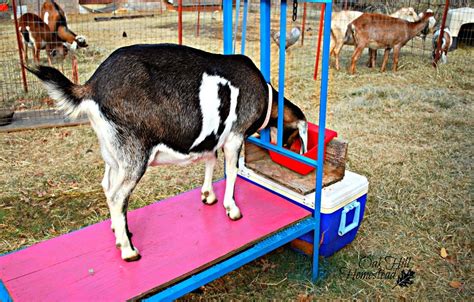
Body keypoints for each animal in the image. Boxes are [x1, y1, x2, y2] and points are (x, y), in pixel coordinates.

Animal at [25, 43, 310, 260]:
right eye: (294, 138)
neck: (266, 97)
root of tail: (91, 86)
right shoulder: (234, 136)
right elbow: (231, 173)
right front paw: (232, 209)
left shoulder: (211, 137)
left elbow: (210, 160)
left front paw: (208, 196)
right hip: (134, 152)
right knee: (118, 195)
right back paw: (129, 251)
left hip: (112, 150)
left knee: (107, 185)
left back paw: (119, 232)